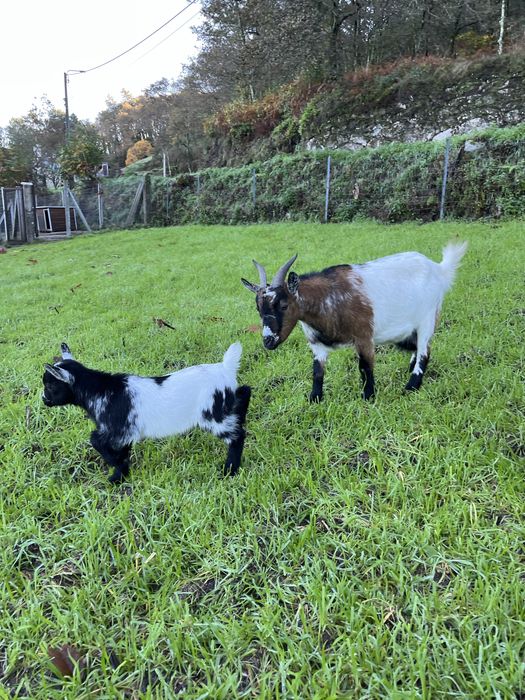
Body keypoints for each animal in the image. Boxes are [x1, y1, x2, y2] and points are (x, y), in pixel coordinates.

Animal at [42, 342, 251, 483]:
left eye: (50, 385)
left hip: (212, 415)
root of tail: (225, 368)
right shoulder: (126, 433)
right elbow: (123, 451)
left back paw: (229, 470)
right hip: (224, 404)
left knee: (237, 436)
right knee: (245, 392)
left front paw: (116, 473)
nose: (44, 400)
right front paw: (122, 472)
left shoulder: (117, 430)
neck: (99, 390)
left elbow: (96, 440)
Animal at [242, 242, 467, 401]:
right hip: (404, 331)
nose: (268, 341)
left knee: (424, 351)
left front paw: (368, 397)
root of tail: (438, 269)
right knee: (415, 348)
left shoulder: (364, 335)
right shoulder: (317, 344)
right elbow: (317, 372)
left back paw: (411, 386)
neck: (329, 299)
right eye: (258, 308)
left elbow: (365, 367)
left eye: (284, 305)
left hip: (428, 318)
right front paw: (314, 399)